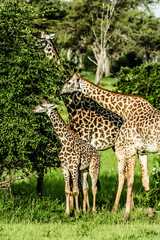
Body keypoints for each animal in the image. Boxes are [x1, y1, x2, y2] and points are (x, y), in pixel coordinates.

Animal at [60, 71, 159, 219]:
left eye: (69, 81)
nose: (60, 90)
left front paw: (83, 210)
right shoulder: (140, 150)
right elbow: (143, 179)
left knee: (123, 176)